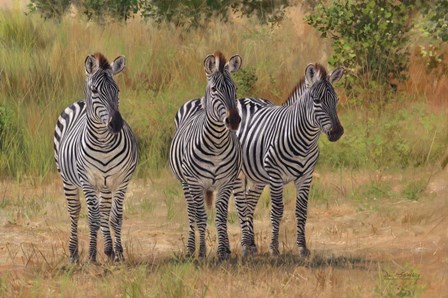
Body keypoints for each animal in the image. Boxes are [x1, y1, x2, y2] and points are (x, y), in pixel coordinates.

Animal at [53, 53, 136, 264]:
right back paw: (74, 254)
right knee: (75, 211)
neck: (103, 143)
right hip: (67, 179)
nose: (116, 124)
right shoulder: (87, 180)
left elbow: (114, 217)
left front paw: (117, 253)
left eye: (117, 90)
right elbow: (93, 218)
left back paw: (108, 250)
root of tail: (80, 102)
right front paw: (91, 255)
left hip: (105, 184)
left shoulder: (121, 180)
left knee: (104, 212)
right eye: (95, 90)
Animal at [170, 51, 243, 260]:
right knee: (191, 213)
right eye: (214, 89)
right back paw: (190, 249)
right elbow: (201, 217)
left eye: (235, 88)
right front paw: (201, 252)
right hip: (186, 183)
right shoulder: (195, 183)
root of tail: (197, 100)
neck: (216, 144)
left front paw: (223, 252)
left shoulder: (226, 182)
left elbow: (221, 216)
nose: (234, 120)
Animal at [233, 62, 344, 256]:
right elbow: (277, 211)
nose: (337, 132)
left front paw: (302, 248)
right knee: (241, 205)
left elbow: (301, 211)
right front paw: (274, 248)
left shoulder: (306, 177)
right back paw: (245, 245)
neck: (304, 142)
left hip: (258, 176)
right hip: (241, 173)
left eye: (336, 100)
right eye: (317, 101)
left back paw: (252, 245)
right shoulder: (275, 175)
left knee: (250, 202)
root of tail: (244, 99)